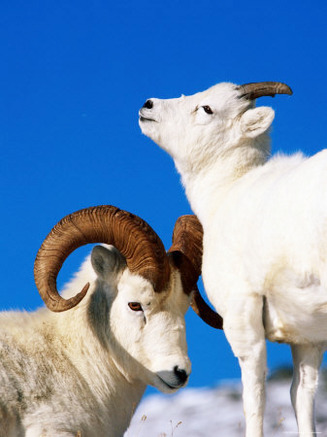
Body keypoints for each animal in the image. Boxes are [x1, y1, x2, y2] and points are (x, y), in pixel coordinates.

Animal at [140, 82, 327, 436]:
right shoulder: (307, 338)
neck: (227, 191)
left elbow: (254, 396)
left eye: (207, 109)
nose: (148, 105)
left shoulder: (243, 319)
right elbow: (302, 396)